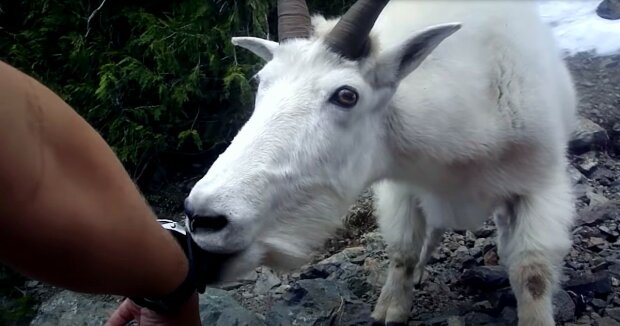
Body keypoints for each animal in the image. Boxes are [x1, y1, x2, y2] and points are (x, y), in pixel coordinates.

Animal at [183, 1, 576, 324]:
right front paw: (391, 310)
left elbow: (532, 273)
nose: (204, 219)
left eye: (346, 95)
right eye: (260, 81)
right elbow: (403, 250)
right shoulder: (402, 188)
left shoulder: (541, 185)